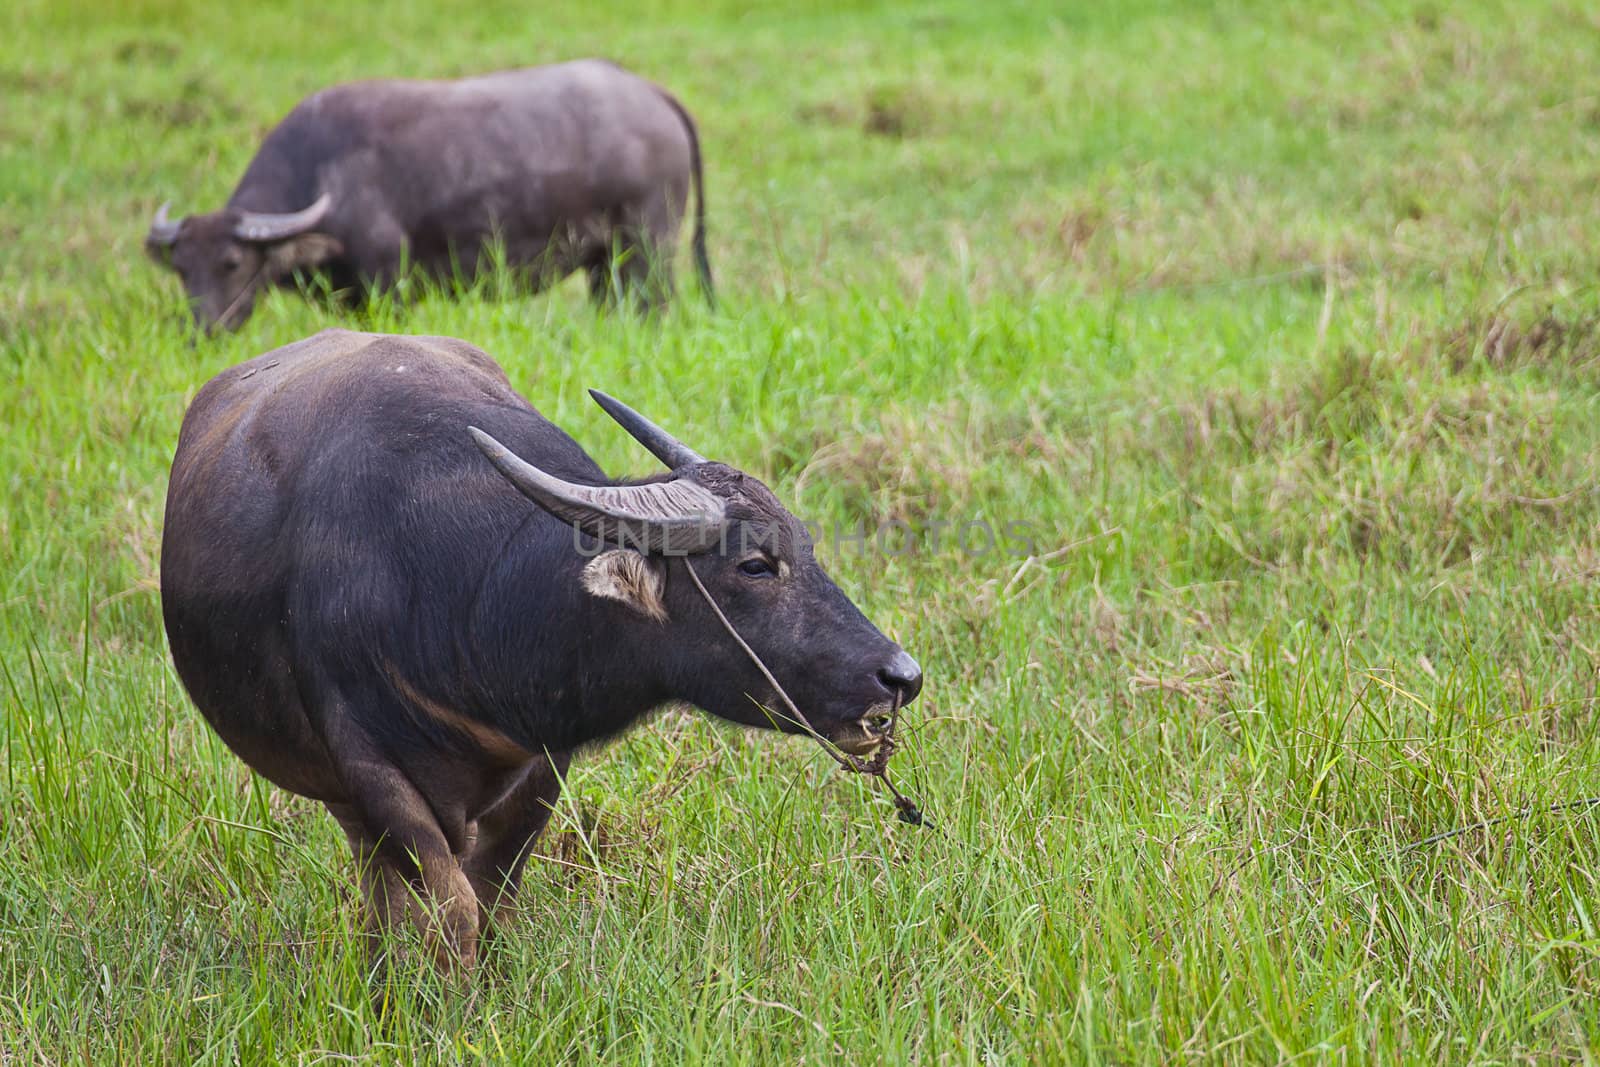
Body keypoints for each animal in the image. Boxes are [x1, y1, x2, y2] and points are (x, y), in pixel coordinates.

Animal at [145, 60, 713, 331]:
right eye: (181, 269)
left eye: (232, 262)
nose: (200, 331)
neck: (322, 174)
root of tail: (652, 94)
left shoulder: (387, 284)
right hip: (603, 263)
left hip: (647, 248)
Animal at [162, 329, 928, 972]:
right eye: (756, 566)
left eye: (806, 545)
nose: (901, 676)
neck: (470, 603)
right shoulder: (370, 766)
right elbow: (455, 912)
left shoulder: (541, 762)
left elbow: (495, 900)